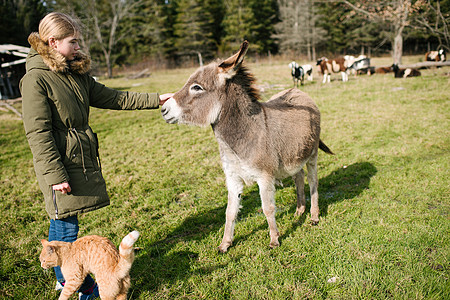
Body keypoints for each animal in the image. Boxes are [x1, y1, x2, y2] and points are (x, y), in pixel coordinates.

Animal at [162, 41, 334, 253]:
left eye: (197, 87)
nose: (163, 109)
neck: (239, 138)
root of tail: (299, 92)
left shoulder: (264, 177)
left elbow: (268, 208)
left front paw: (274, 240)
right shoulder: (233, 178)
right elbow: (230, 211)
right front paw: (225, 244)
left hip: (312, 155)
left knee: (313, 182)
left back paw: (314, 216)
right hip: (293, 155)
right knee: (299, 177)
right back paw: (299, 210)